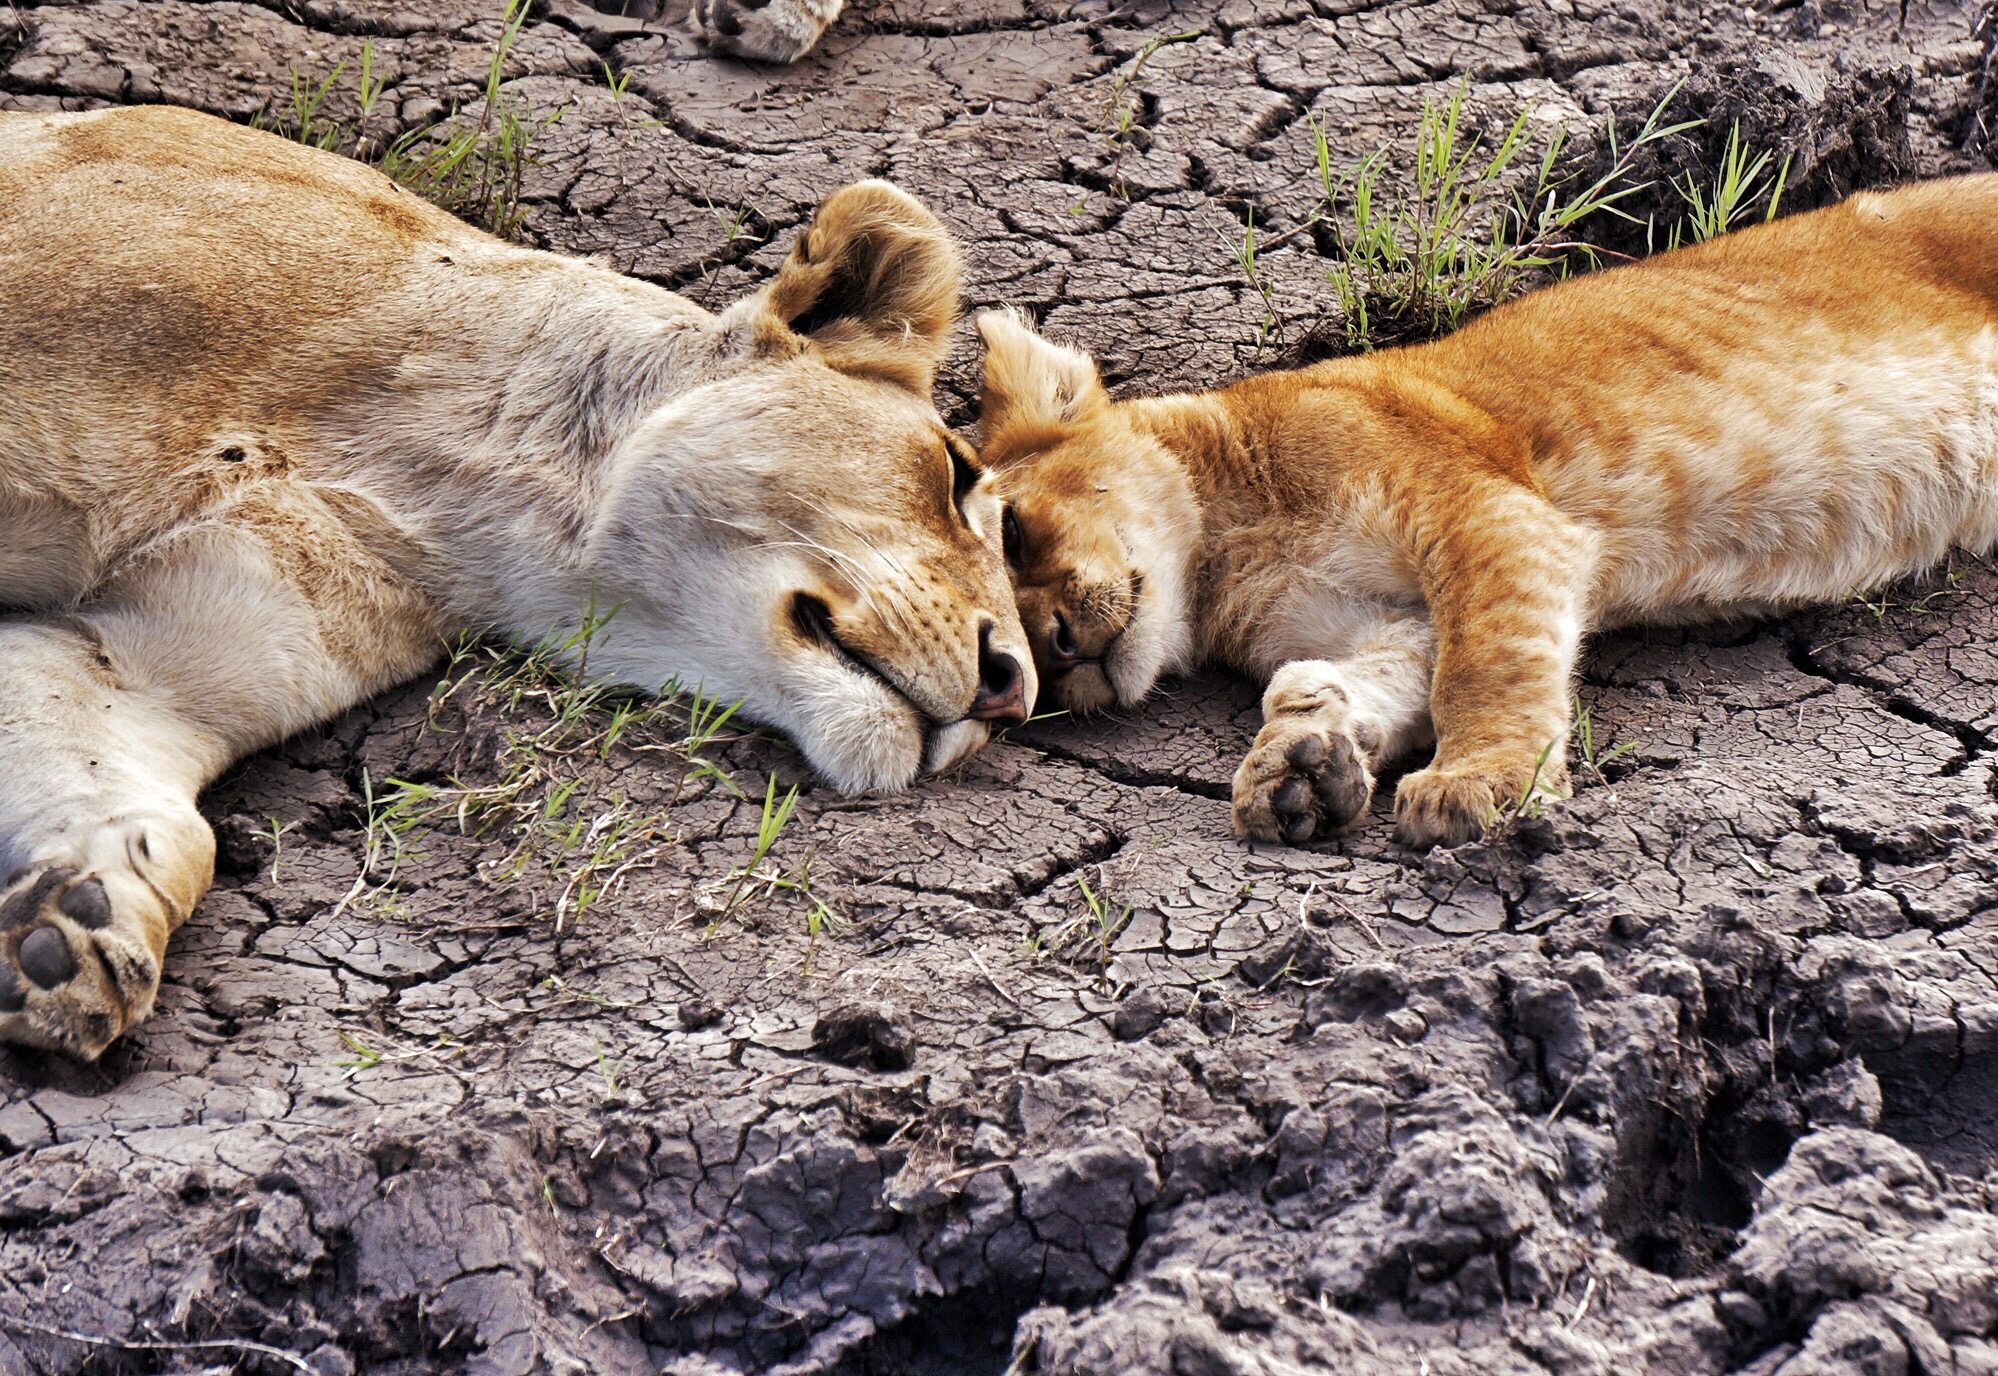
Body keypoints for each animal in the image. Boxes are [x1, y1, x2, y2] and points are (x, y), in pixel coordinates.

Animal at [975, 174, 1998, 851]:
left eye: (1014, 531)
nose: (1058, 649)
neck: (1226, 560)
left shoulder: (1484, 507)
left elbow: (1486, 661)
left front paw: (1478, 784)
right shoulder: (1384, 619)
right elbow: (1346, 679)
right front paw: (1299, 765)